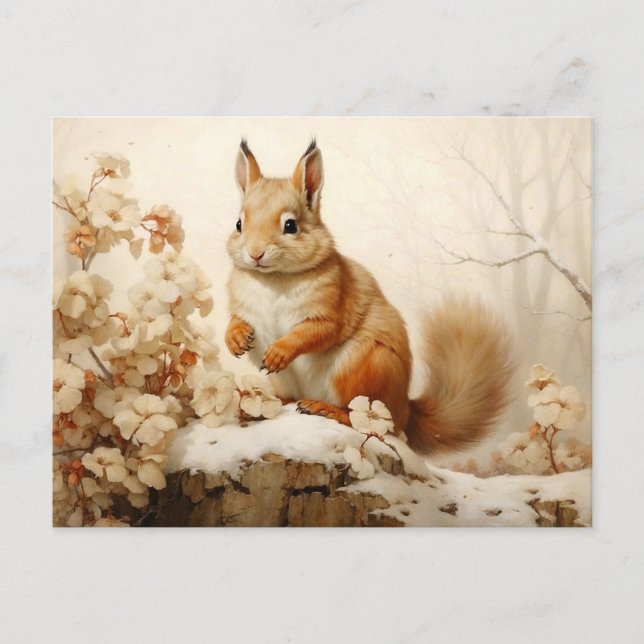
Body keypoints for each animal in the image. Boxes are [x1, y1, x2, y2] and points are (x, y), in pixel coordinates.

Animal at [225, 139, 514, 454]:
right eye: (239, 224)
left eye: (291, 226)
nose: (255, 254)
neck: (273, 278)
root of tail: (406, 410)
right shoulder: (243, 308)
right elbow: (235, 321)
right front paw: (236, 340)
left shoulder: (331, 310)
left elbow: (311, 333)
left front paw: (278, 353)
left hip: (361, 369)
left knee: (364, 419)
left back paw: (322, 408)